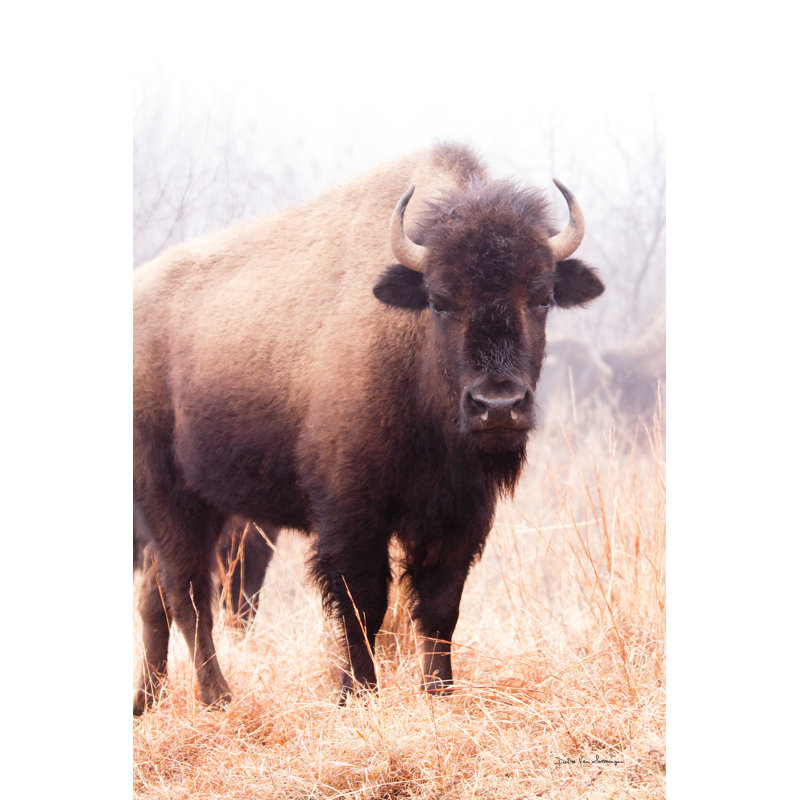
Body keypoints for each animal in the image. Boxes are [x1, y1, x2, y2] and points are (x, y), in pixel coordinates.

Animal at [133, 143, 604, 714]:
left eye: (541, 297)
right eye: (440, 300)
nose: (498, 405)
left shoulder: (459, 514)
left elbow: (440, 607)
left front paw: (439, 692)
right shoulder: (352, 513)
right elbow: (363, 604)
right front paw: (357, 692)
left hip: (207, 504)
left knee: (157, 599)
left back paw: (147, 702)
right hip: (168, 497)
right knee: (188, 596)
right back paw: (216, 697)